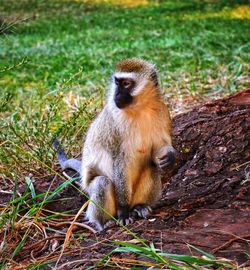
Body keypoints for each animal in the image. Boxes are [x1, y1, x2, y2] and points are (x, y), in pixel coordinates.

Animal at [54, 58, 176, 231]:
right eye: (117, 83)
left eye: (126, 83)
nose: (116, 94)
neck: (140, 109)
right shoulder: (114, 125)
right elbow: (120, 162)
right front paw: (123, 212)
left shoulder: (163, 111)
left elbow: (162, 144)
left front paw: (171, 156)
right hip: (93, 190)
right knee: (101, 183)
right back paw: (104, 221)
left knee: (152, 166)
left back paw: (140, 206)